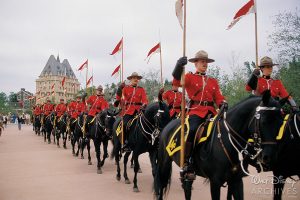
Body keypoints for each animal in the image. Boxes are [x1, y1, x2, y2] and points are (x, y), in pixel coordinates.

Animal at [155, 91, 286, 200]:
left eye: (281, 123)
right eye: (263, 121)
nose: (269, 157)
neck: (227, 141)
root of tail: (167, 126)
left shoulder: (236, 181)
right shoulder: (215, 182)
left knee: (187, 188)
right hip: (164, 164)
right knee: (161, 186)